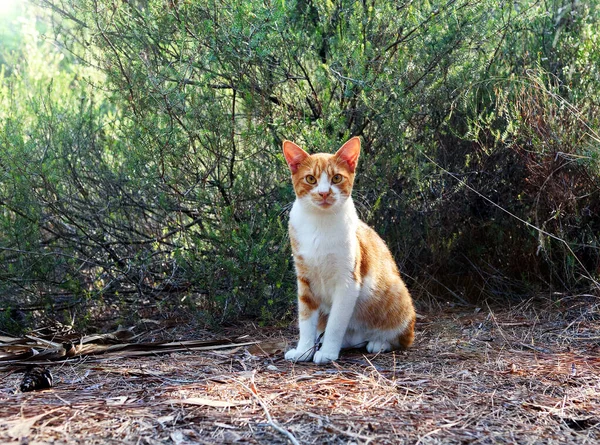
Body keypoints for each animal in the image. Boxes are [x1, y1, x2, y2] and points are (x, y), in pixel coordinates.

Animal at [282, 137, 414, 362]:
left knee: (401, 338)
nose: (324, 193)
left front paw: (327, 352)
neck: (320, 224)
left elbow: (336, 323)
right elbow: (306, 320)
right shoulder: (305, 281)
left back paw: (378, 342)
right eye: (310, 179)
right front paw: (304, 350)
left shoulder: (347, 282)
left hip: (398, 296)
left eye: (336, 178)